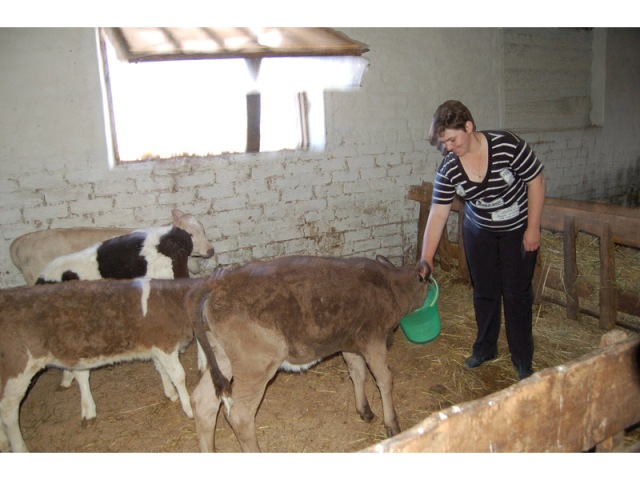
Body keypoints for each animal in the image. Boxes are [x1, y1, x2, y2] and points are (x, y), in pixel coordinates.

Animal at [0, 276, 205, 452]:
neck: (174, 300)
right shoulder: (165, 344)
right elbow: (179, 375)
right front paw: (188, 407)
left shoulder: (156, 347)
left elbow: (162, 370)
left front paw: (170, 393)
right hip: (17, 370)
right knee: (8, 411)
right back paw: (19, 447)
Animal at [188, 256, 432, 452]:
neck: (390, 285)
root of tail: (215, 288)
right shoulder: (373, 340)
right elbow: (385, 379)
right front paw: (392, 424)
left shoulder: (349, 340)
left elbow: (358, 373)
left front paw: (364, 410)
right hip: (256, 365)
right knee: (240, 415)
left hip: (223, 358)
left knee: (203, 402)